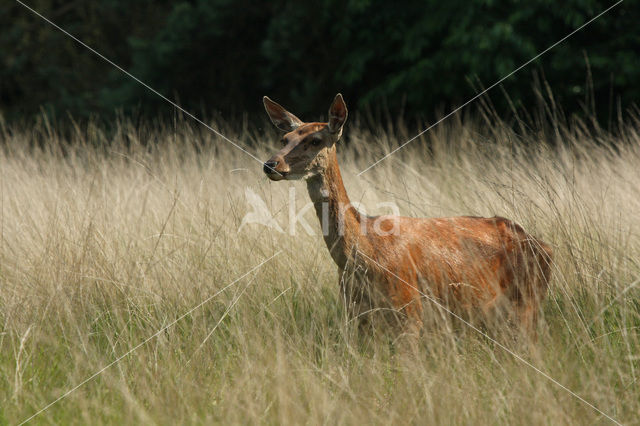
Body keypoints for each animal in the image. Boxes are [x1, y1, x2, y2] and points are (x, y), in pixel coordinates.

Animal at [262, 93, 552, 340]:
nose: (271, 164)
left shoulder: (409, 311)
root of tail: (543, 245)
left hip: (527, 302)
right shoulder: (356, 314)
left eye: (315, 140)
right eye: (285, 139)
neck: (364, 254)